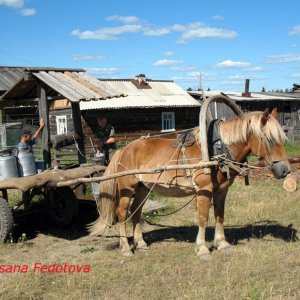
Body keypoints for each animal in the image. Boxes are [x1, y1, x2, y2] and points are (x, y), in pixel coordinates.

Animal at [89, 109, 290, 258]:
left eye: (282, 138)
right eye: (270, 139)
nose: (285, 170)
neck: (216, 150)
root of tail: (124, 149)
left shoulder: (221, 191)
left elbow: (219, 216)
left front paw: (222, 244)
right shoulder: (204, 190)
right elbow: (203, 217)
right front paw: (202, 249)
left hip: (143, 189)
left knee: (136, 213)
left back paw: (141, 244)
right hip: (127, 188)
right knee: (122, 213)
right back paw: (126, 247)